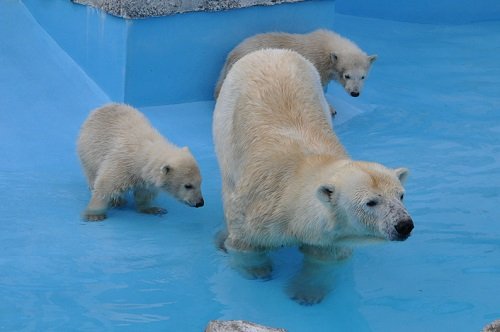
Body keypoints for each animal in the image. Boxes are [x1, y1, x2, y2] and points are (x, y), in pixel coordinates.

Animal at [213, 48, 412, 304]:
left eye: (401, 195)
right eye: (371, 202)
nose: (404, 225)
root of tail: (270, 51)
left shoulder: (327, 236)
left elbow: (324, 259)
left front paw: (306, 293)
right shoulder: (257, 208)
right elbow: (245, 245)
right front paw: (258, 271)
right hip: (226, 121)